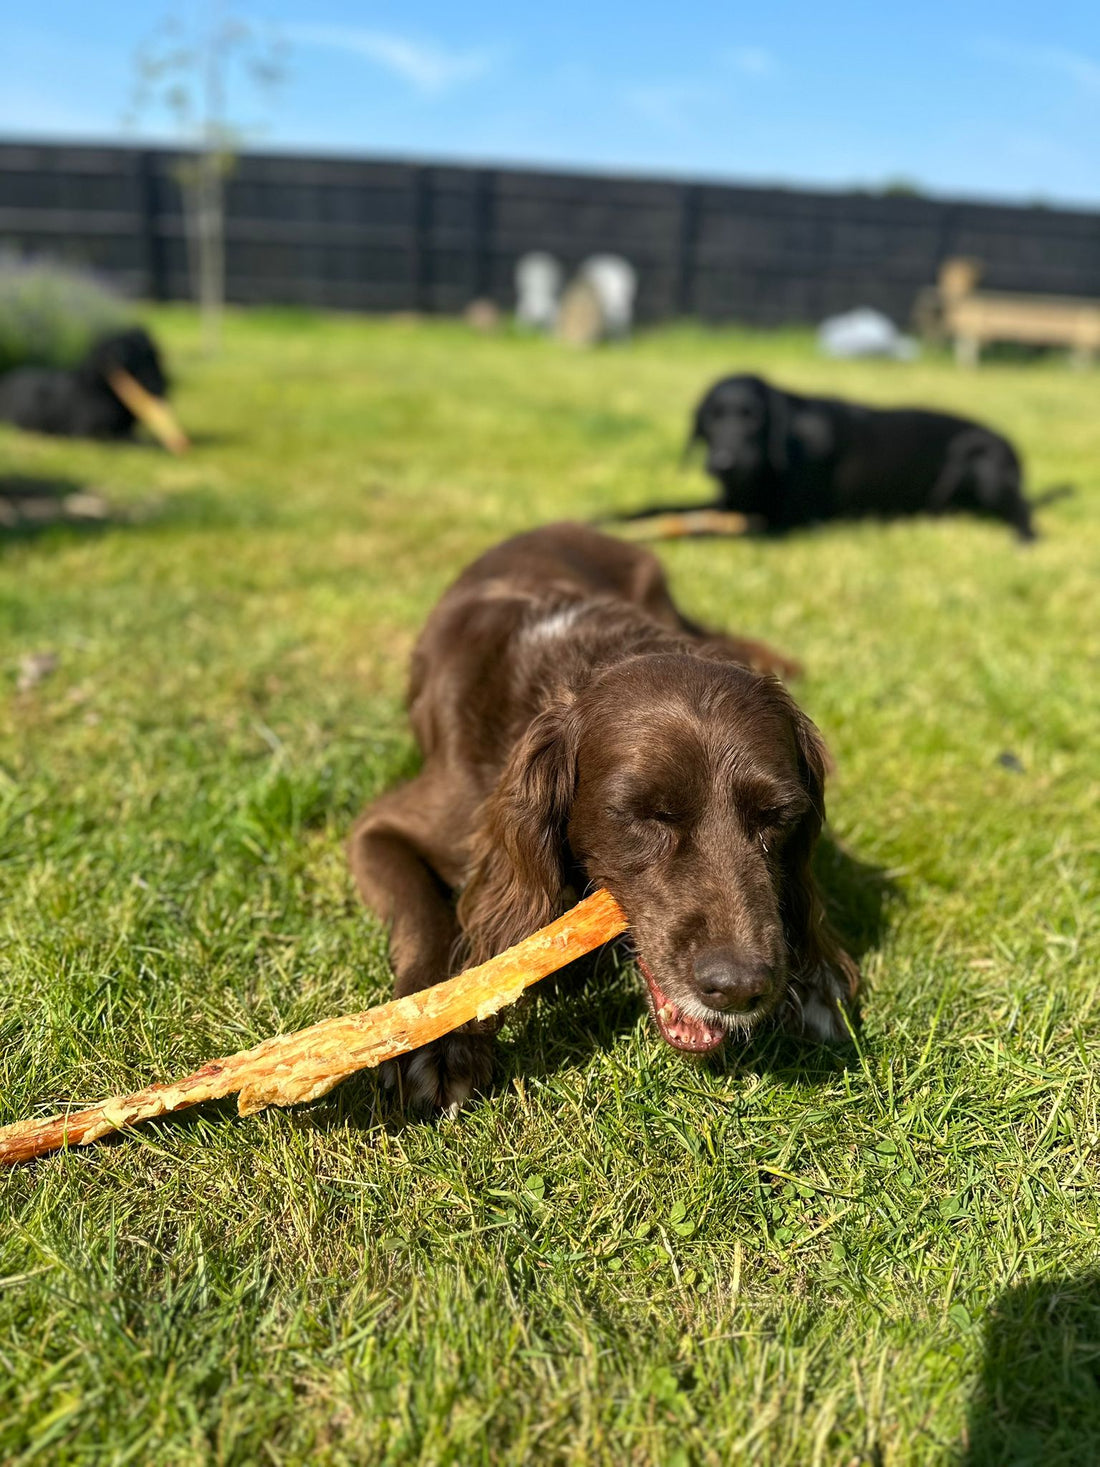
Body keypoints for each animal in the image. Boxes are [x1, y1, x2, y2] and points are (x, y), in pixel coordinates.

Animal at [349, 522, 856, 1103]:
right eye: (644, 815)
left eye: (776, 816)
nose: (739, 988)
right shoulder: (380, 826)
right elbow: (424, 914)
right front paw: (432, 1039)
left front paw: (816, 980)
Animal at [624, 372, 1073, 545]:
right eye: (710, 420)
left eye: (753, 418)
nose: (722, 462)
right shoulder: (729, 501)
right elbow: (658, 506)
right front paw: (613, 516)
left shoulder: (780, 524)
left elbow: (705, 531)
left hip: (985, 466)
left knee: (1023, 508)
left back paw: (1025, 538)